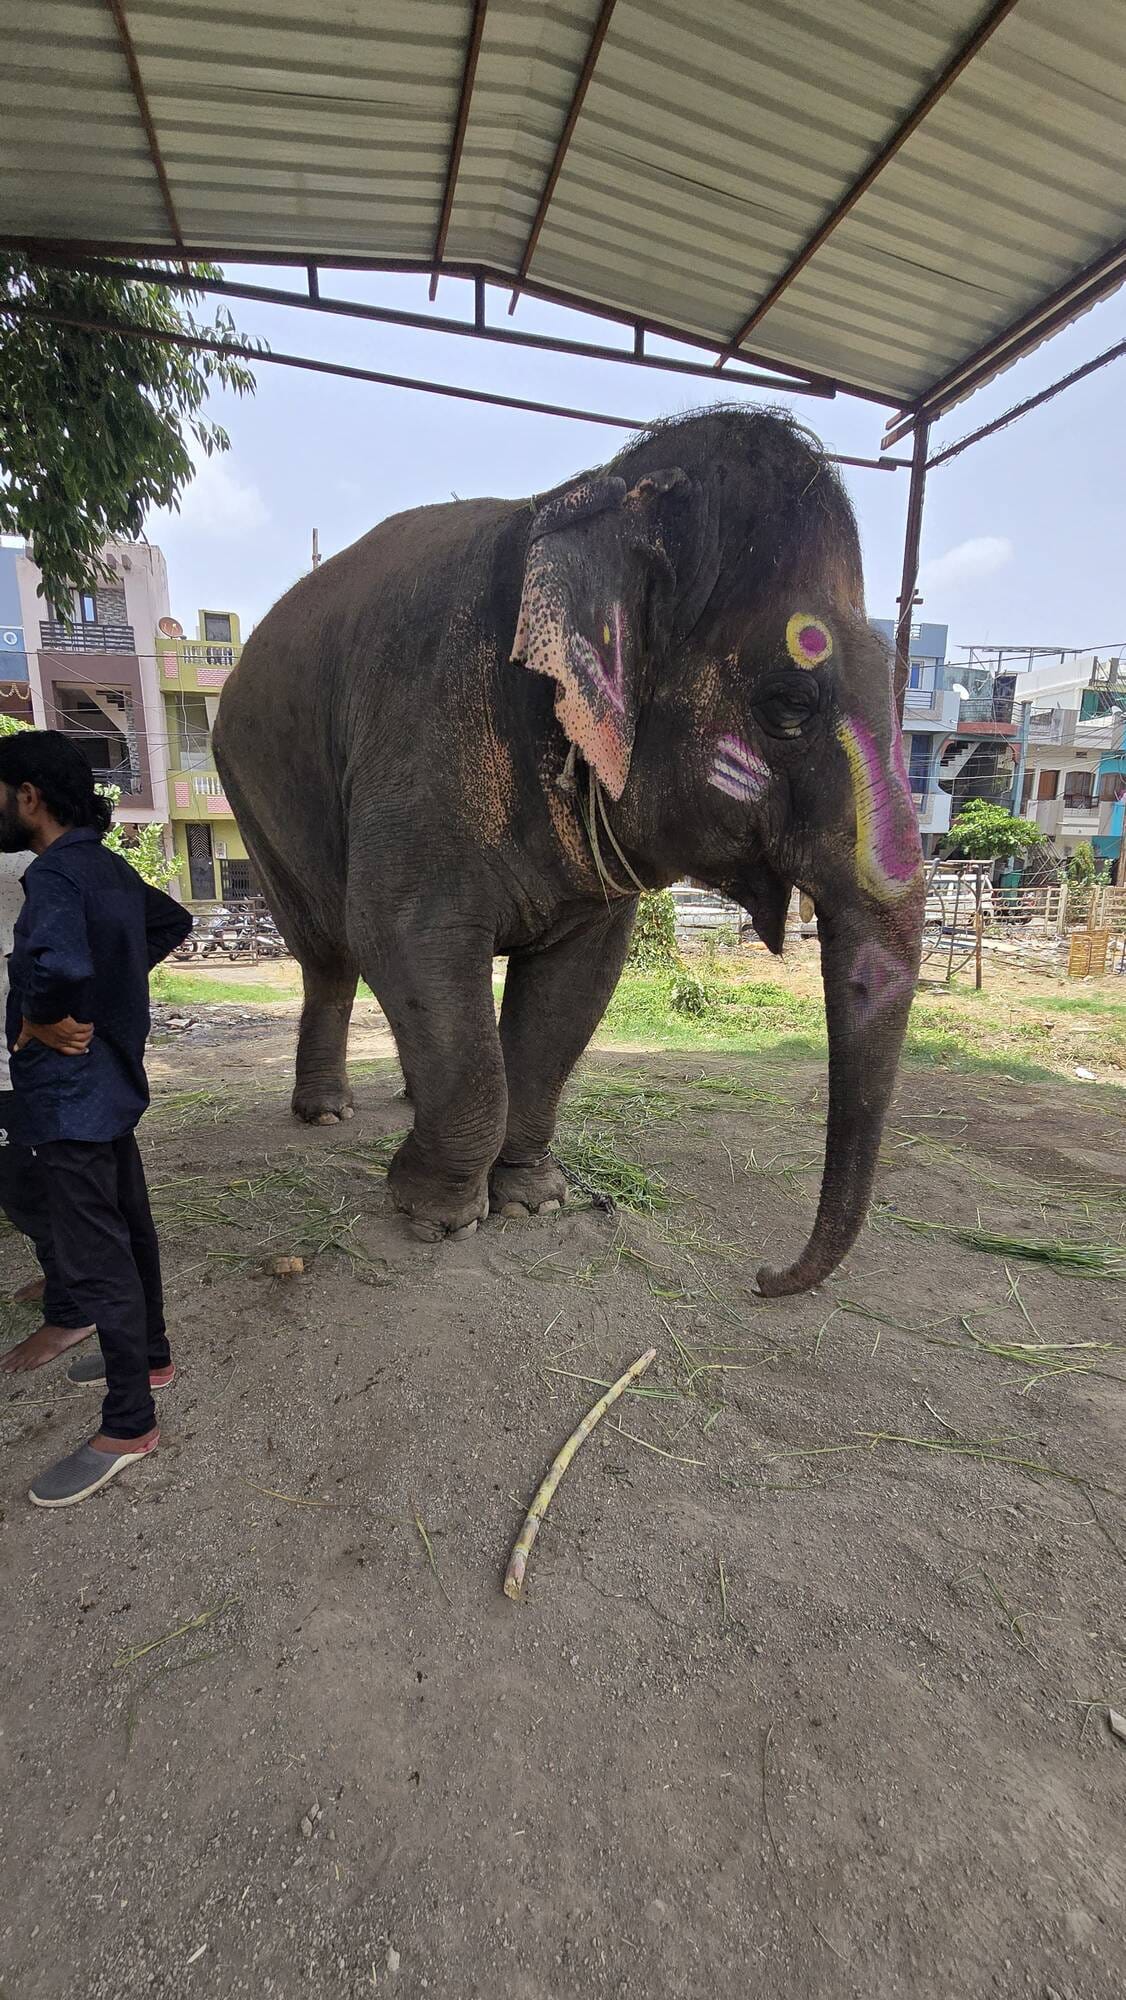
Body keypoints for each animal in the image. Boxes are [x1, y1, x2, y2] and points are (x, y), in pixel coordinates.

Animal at [213, 406, 923, 1295]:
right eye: (790, 703)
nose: (766, 1278)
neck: (598, 500)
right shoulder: (419, 740)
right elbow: (401, 933)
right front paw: (431, 1214)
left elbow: (574, 988)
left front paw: (533, 1201)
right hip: (252, 796)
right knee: (331, 953)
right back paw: (327, 1112)